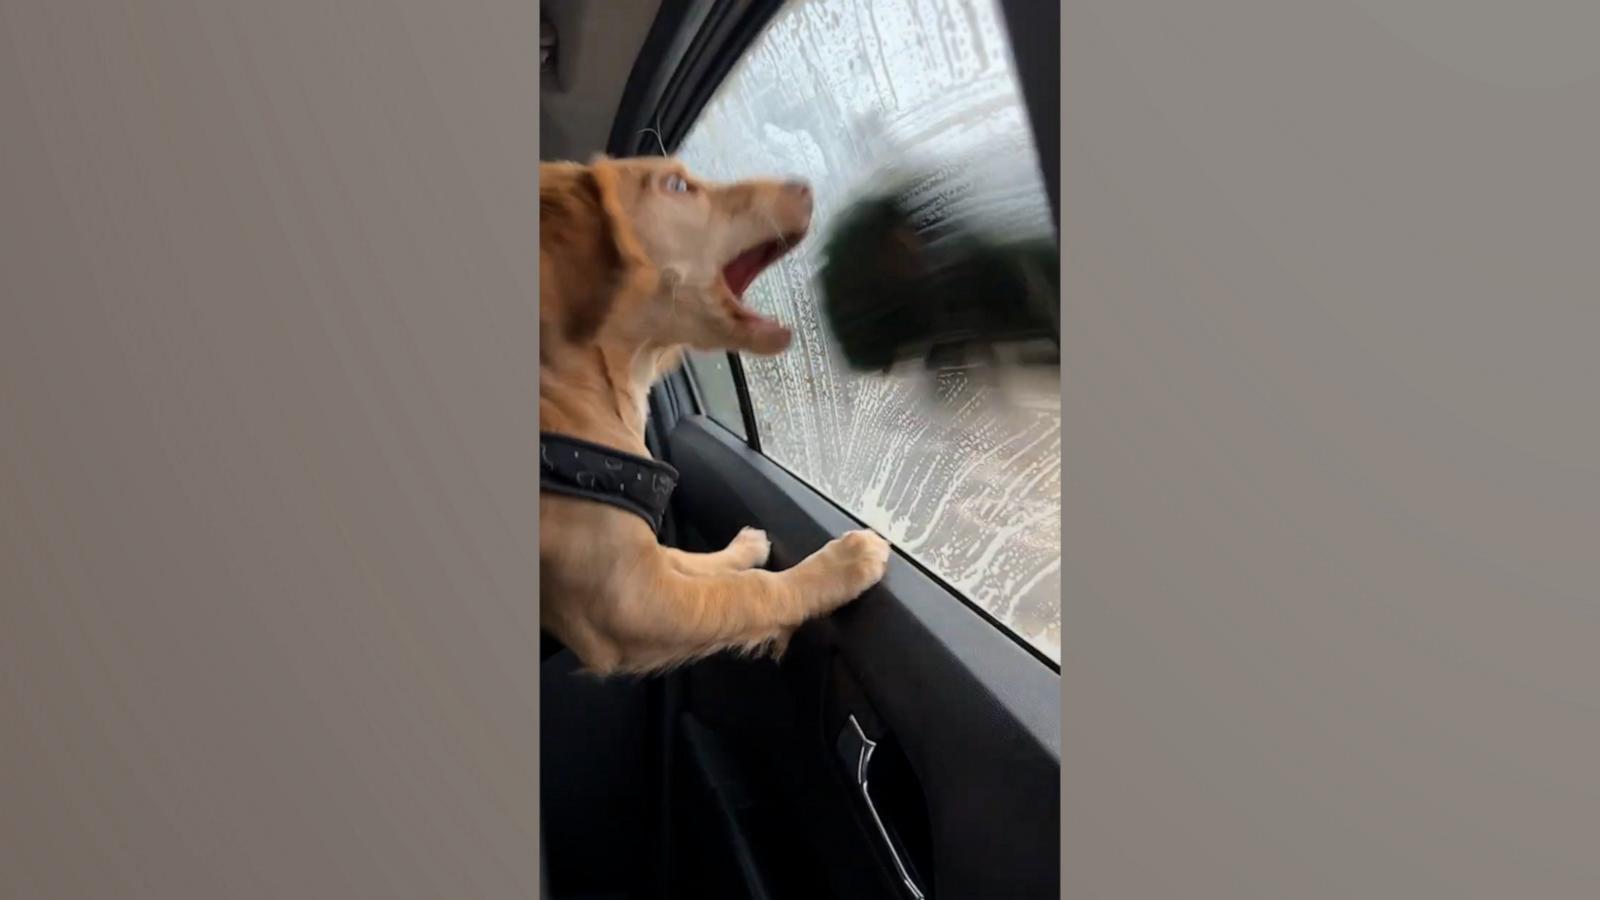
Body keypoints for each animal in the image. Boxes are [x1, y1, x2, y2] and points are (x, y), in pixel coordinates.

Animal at [537, 156, 889, 672]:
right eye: (677, 185)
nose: (804, 185)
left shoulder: (644, 559)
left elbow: (695, 561)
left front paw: (742, 548)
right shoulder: (624, 602)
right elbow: (752, 591)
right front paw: (841, 563)